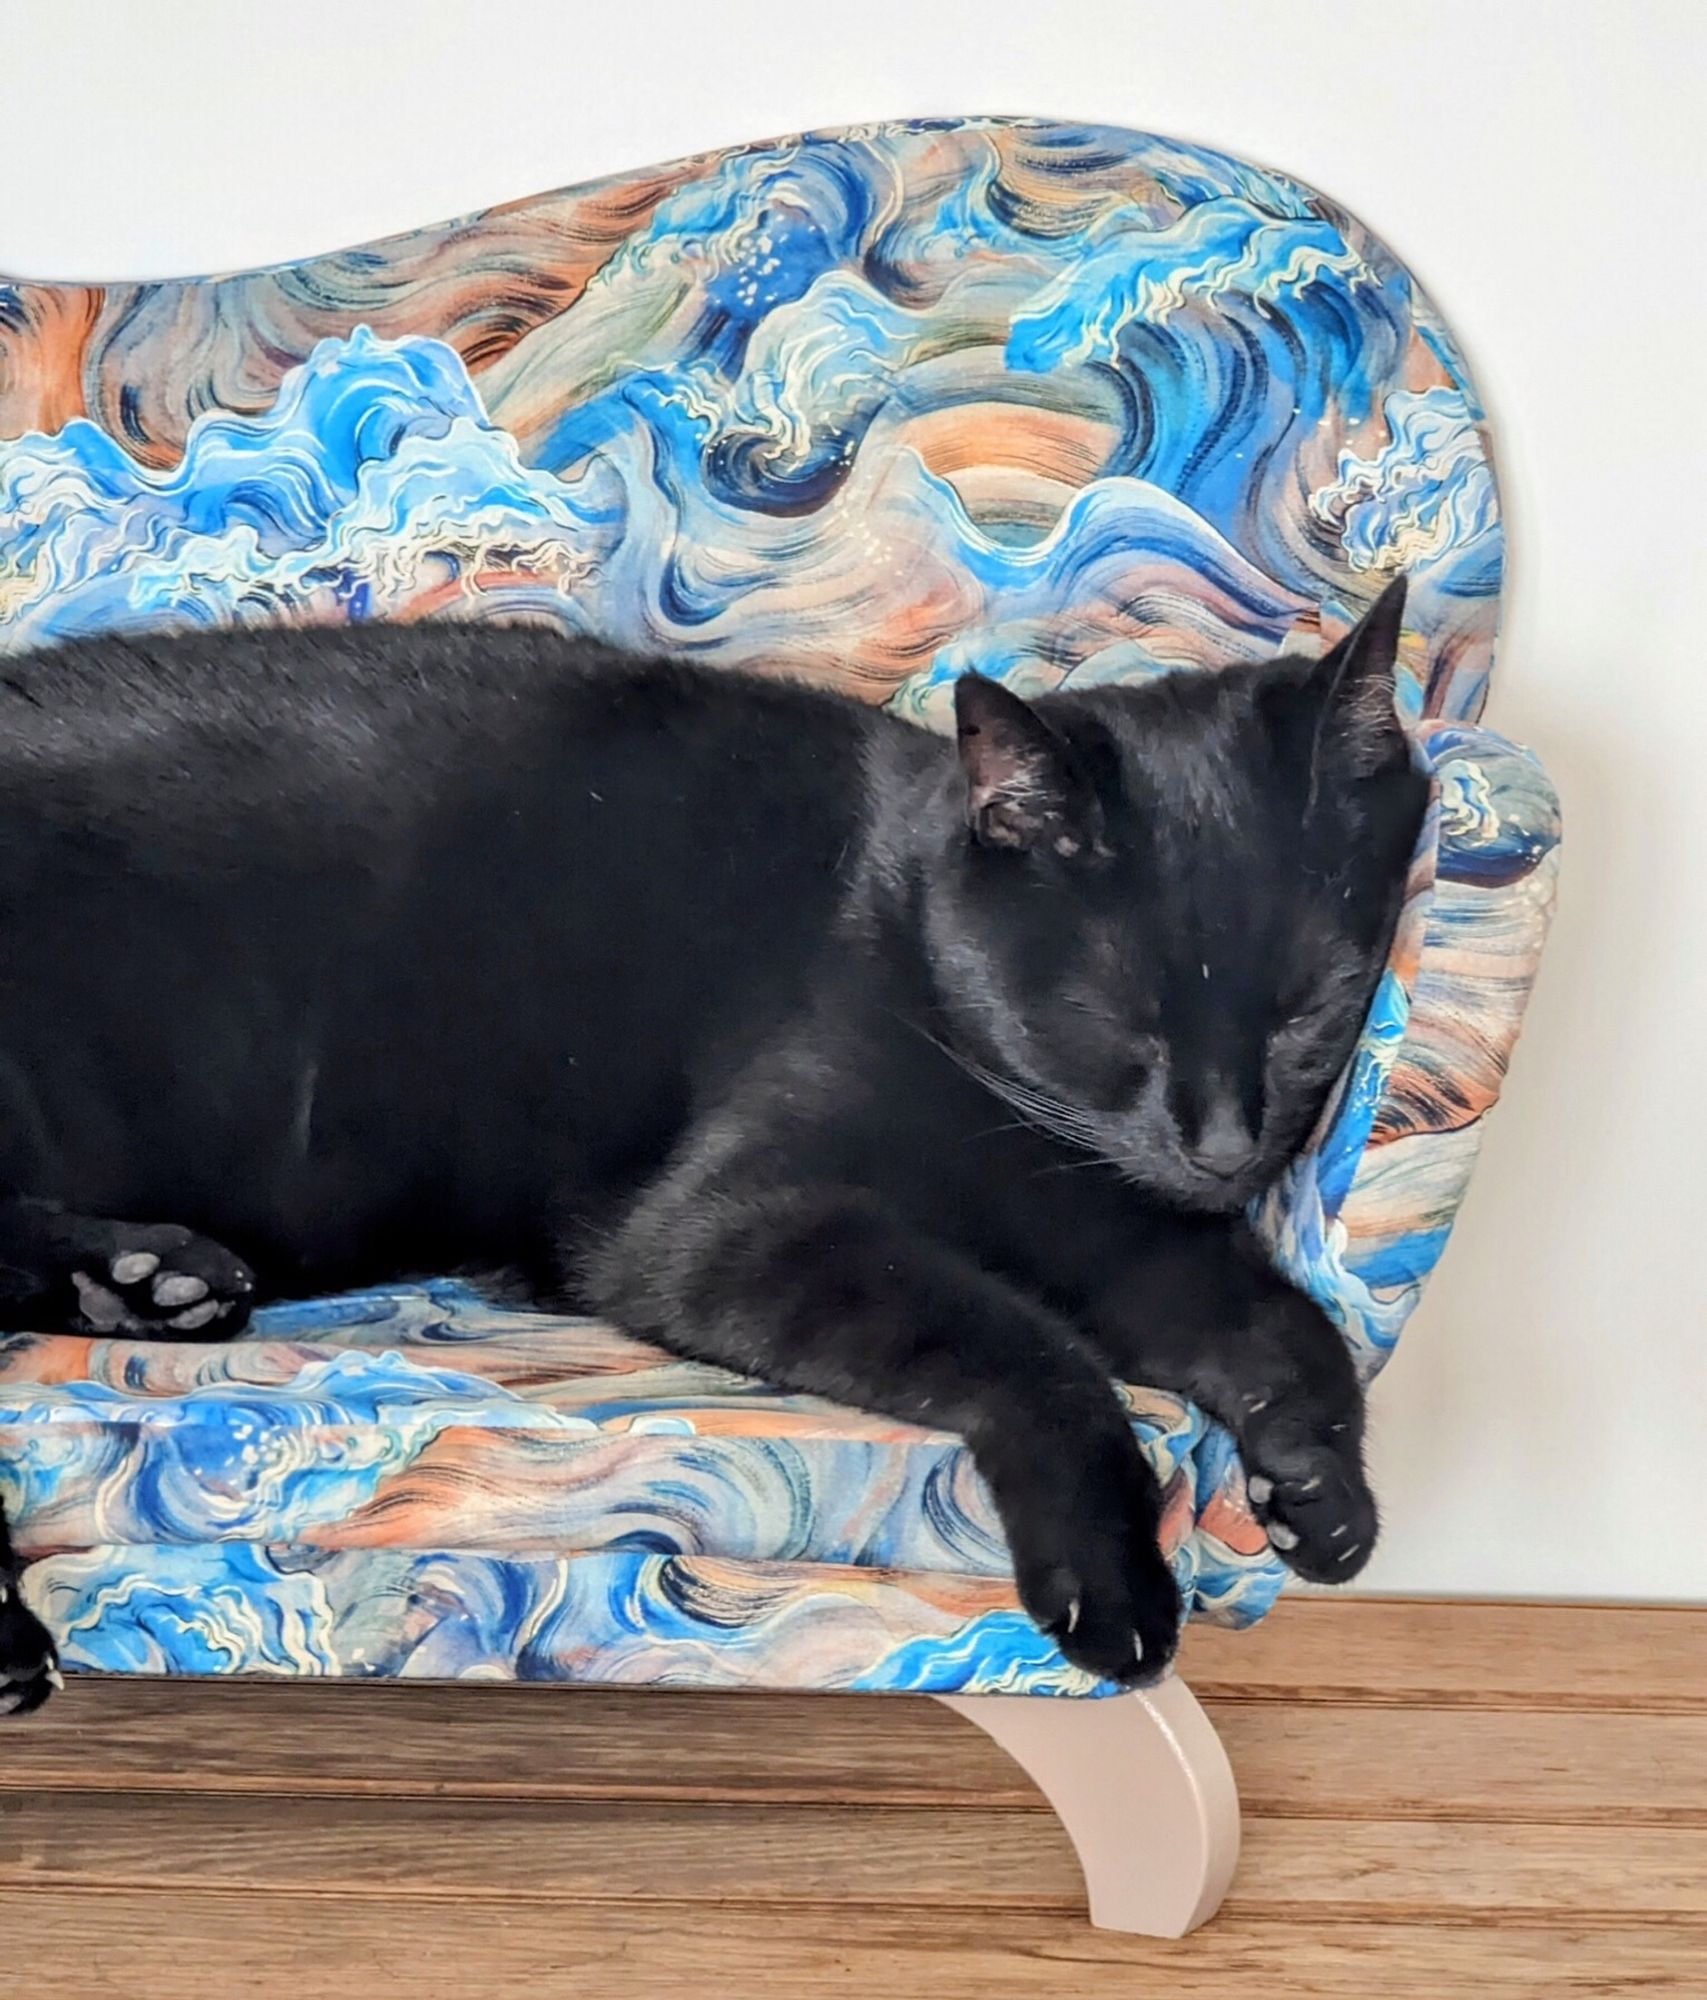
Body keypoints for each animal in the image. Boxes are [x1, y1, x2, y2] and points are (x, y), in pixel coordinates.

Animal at [0, 572, 1423, 1712]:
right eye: (1126, 1019)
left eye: (1312, 1009)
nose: (1224, 1144)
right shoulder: (735, 1222)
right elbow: (1038, 1349)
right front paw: (1114, 1580)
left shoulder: (1113, 1221)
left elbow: (1275, 1318)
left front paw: (1319, 1486)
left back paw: (143, 1287)